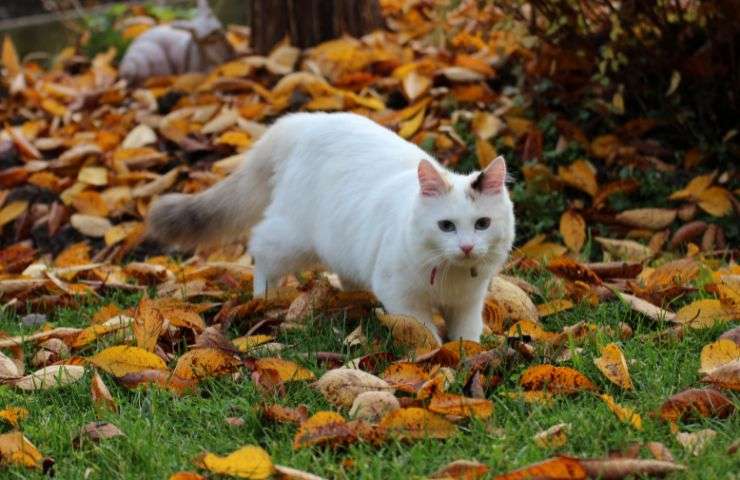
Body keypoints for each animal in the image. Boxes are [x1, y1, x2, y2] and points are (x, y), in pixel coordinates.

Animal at [146, 112, 516, 342]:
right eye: (446, 226)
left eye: (482, 224)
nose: (467, 247)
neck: (451, 277)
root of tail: (306, 121)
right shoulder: (402, 297)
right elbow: (424, 333)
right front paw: (437, 359)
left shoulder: (468, 303)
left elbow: (466, 337)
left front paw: (465, 358)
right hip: (293, 238)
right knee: (261, 249)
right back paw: (263, 298)